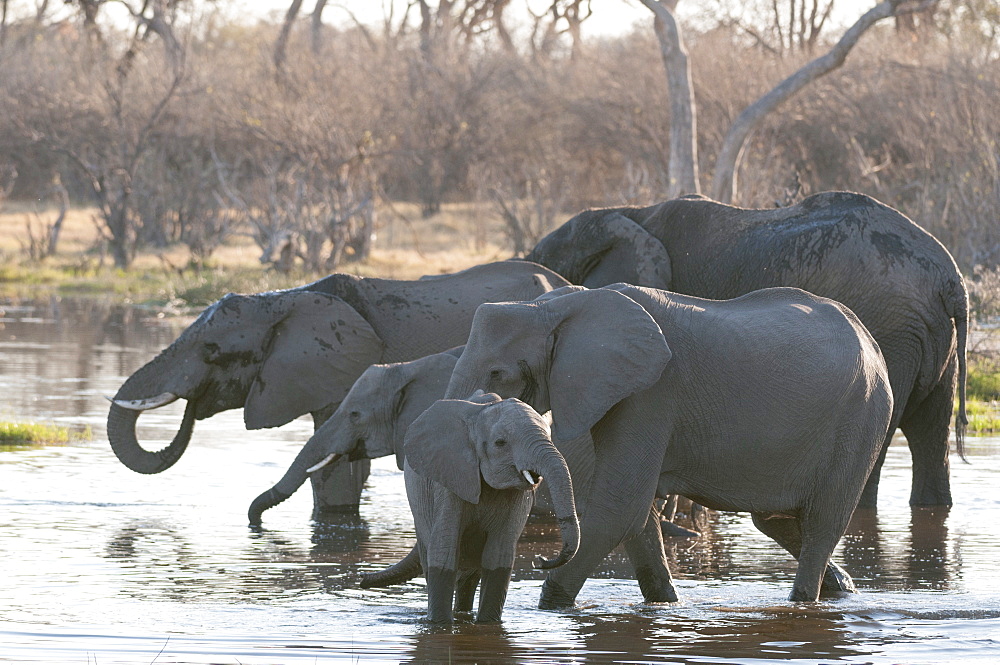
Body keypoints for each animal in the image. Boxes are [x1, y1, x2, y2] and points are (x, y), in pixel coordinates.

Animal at [386, 390, 584, 624]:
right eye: (500, 443)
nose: (540, 560)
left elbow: (498, 556)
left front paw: (487, 624)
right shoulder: (450, 479)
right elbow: (444, 551)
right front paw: (440, 625)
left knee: (470, 576)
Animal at [450, 282, 896, 604]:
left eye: (497, 373)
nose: (544, 558)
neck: (558, 305)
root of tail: (870, 340)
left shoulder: (651, 393)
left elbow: (619, 507)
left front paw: (551, 604)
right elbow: (636, 513)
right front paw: (665, 604)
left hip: (862, 416)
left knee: (823, 521)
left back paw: (804, 600)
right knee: (776, 520)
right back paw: (843, 588)